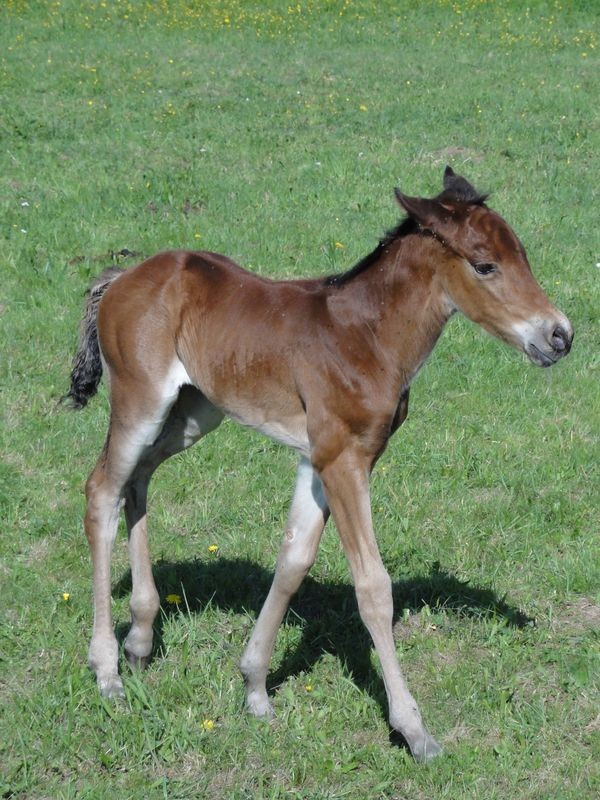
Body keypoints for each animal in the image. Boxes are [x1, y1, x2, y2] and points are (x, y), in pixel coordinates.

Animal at [65, 167, 573, 762]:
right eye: (485, 264)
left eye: (523, 256)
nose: (559, 335)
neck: (366, 337)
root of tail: (123, 276)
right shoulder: (342, 459)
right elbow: (373, 587)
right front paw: (415, 731)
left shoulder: (316, 460)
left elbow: (293, 560)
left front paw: (254, 688)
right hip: (139, 401)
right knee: (102, 490)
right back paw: (107, 672)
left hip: (193, 413)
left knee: (138, 480)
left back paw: (142, 638)